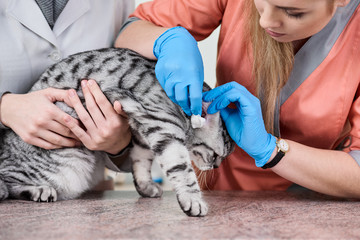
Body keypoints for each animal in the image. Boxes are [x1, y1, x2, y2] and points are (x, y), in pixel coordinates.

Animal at [0, 47, 233, 217]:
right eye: (216, 155)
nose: (216, 166)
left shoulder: (141, 131)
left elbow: (141, 161)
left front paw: (145, 186)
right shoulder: (165, 128)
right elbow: (182, 169)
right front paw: (193, 200)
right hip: (67, 164)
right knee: (8, 179)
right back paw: (39, 190)